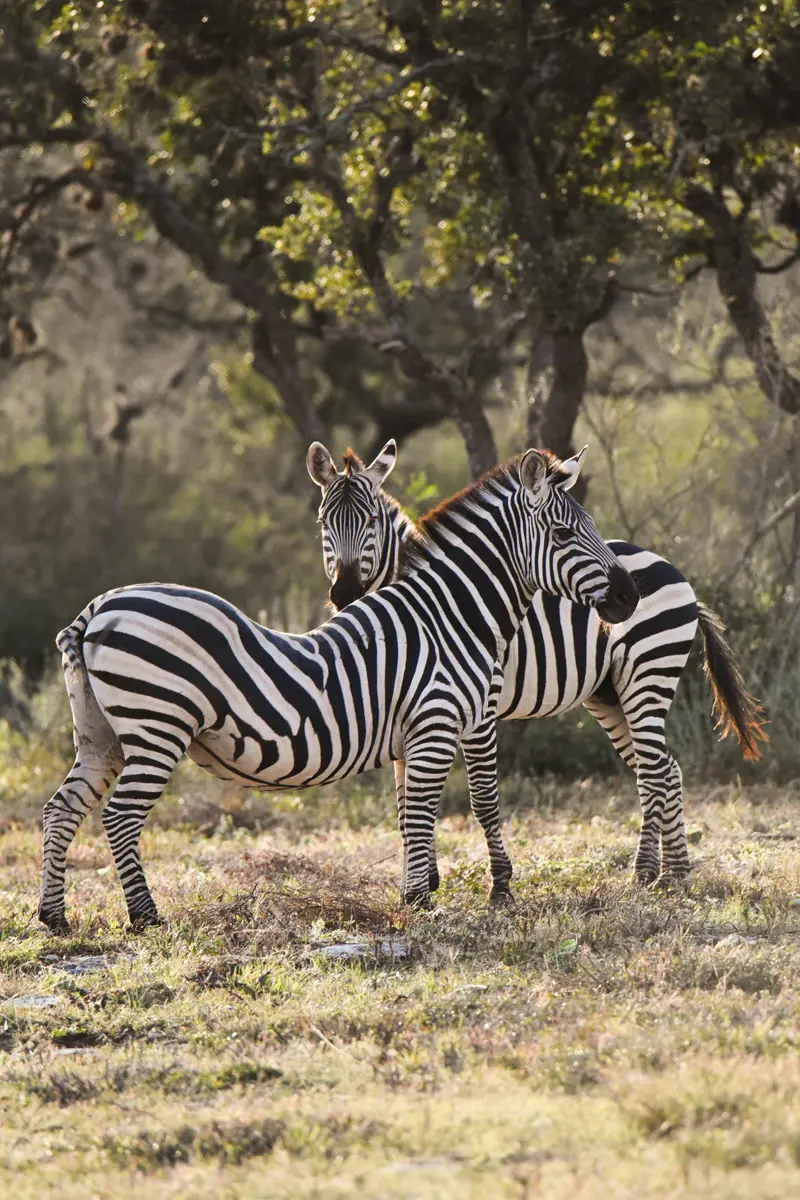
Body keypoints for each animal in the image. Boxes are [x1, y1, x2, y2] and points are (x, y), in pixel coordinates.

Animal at [39, 447, 639, 932]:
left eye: (588, 525)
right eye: (563, 534)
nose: (629, 596)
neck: (449, 617)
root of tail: (99, 606)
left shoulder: (419, 735)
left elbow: (411, 812)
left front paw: (417, 896)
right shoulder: (436, 724)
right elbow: (427, 811)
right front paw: (423, 903)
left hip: (101, 735)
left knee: (60, 808)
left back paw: (53, 917)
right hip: (156, 727)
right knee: (120, 816)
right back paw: (145, 917)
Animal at [307, 440, 767, 900]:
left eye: (370, 520)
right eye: (324, 521)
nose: (345, 594)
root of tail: (673, 568)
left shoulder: (479, 704)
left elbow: (476, 797)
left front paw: (490, 885)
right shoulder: (406, 706)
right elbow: (404, 804)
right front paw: (420, 883)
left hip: (648, 674)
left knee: (654, 771)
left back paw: (645, 871)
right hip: (609, 694)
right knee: (666, 768)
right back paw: (676, 872)